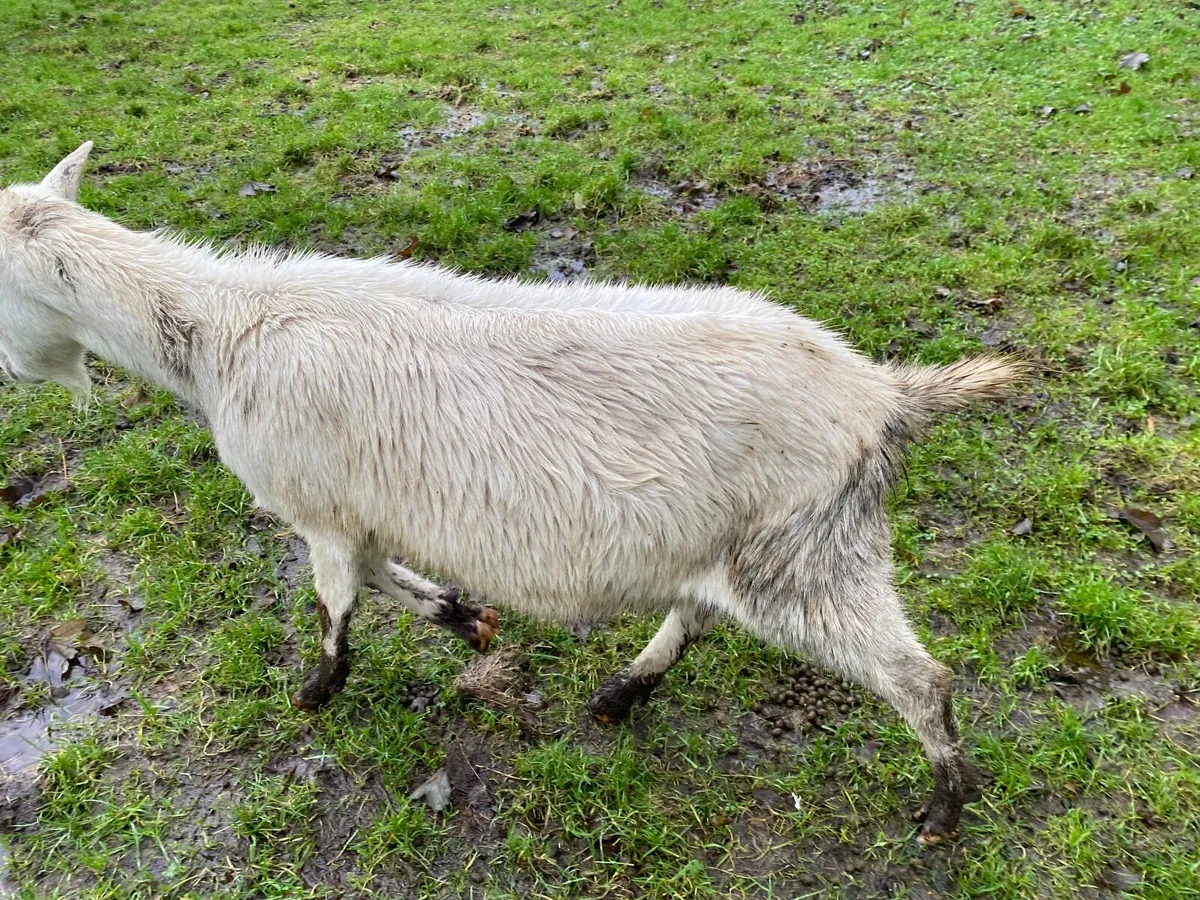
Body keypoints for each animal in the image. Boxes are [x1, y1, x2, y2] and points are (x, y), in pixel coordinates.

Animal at [0, 144, 1023, 843]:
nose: (15, 373)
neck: (219, 332)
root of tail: (887, 394)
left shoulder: (319, 508)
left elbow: (336, 604)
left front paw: (317, 691)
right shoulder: (363, 509)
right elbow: (385, 577)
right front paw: (464, 619)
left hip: (808, 557)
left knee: (918, 679)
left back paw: (943, 808)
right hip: (746, 547)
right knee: (697, 610)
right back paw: (622, 692)